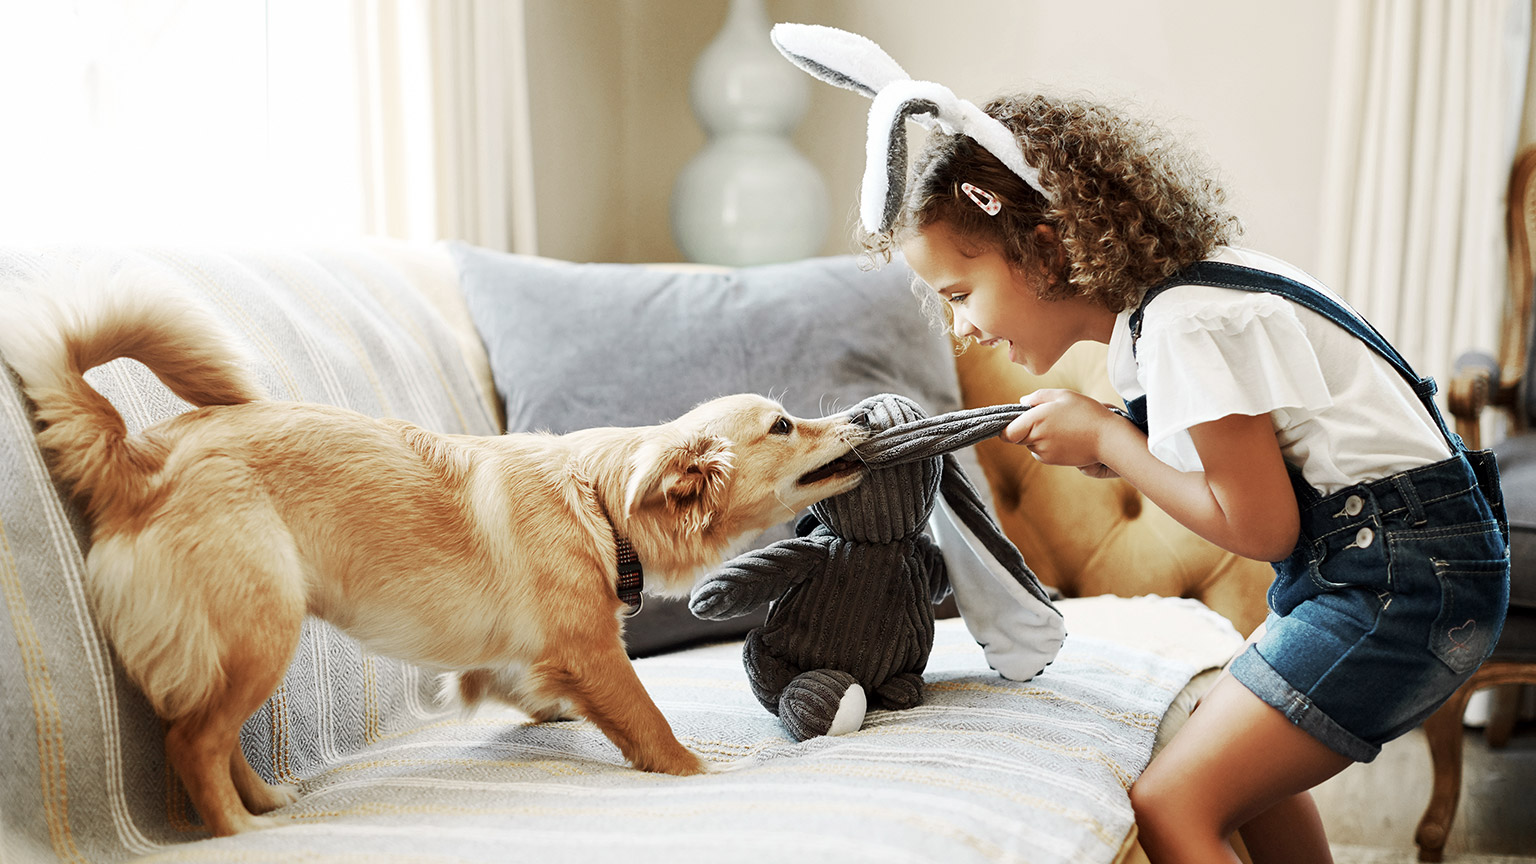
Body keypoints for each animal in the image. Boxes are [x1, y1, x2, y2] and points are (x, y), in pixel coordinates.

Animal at [0, 270, 866, 836]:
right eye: (783, 424)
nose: (861, 415)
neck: (596, 502)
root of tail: (135, 461)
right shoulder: (593, 652)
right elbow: (648, 723)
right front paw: (696, 772)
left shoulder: (531, 656)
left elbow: (519, 685)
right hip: (261, 628)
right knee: (192, 743)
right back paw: (240, 832)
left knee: (210, 738)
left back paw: (265, 802)